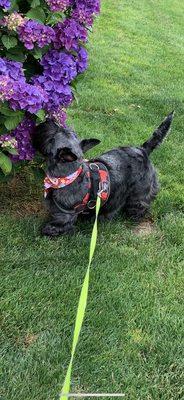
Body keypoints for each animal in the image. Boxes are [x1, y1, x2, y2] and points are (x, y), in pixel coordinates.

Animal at [32, 111, 174, 236]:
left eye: (52, 138)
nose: (49, 119)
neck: (68, 176)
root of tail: (143, 150)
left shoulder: (65, 215)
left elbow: (56, 226)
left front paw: (47, 230)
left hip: (140, 193)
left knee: (141, 204)